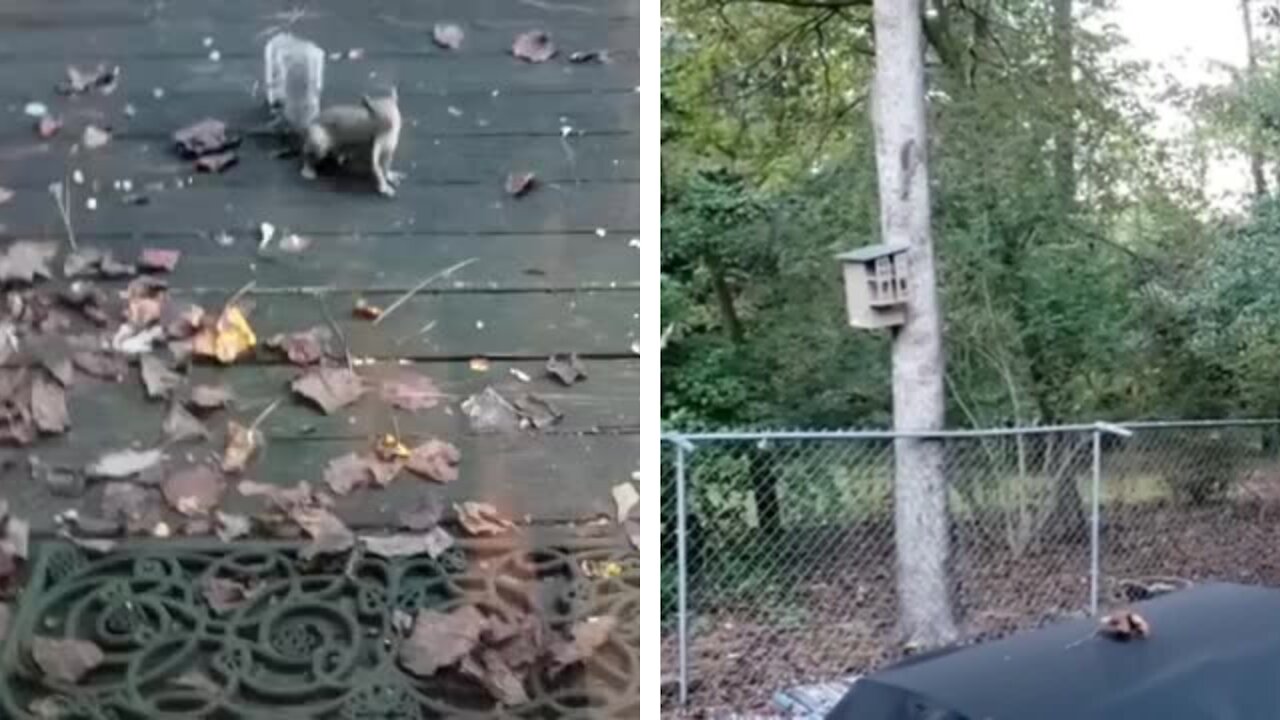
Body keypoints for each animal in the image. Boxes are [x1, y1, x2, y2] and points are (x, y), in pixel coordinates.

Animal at [259, 33, 399, 196]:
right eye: (372, 111)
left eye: (396, 111)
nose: (391, 124)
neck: (386, 135)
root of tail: (306, 129)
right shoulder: (377, 143)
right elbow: (376, 167)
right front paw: (384, 186)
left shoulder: (389, 147)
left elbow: (386, 165)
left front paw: (391, 175)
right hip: (319, 141)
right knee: (306, 154)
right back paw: (308, 171)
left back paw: (341, 157)